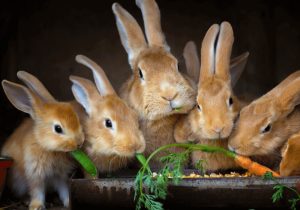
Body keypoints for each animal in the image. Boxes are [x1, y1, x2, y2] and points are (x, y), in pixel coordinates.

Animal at [1, 78, 84, 209]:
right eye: (58, 128)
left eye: (77, 120)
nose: (80, 142)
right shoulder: (35, 175)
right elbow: (37, 191)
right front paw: (36, 206)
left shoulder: (60, 176)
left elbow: (64, 189)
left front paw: (68, 202)